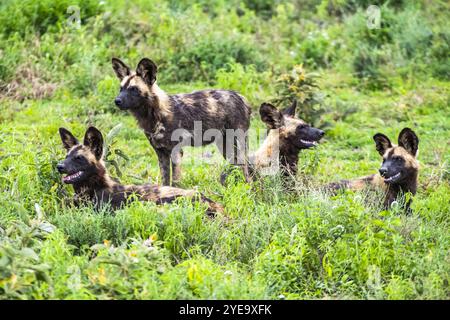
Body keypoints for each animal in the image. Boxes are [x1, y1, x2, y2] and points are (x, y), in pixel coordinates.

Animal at [110, 57, 251, 186]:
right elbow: (165, 180)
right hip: (225, 146)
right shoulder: (161, 153)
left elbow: (175, 181)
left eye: (133, 89)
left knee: (245, 171)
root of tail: (241, 97)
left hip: (236, 144)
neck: (154, 115)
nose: (117, 101)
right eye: (121, 88)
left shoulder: (176, 152)